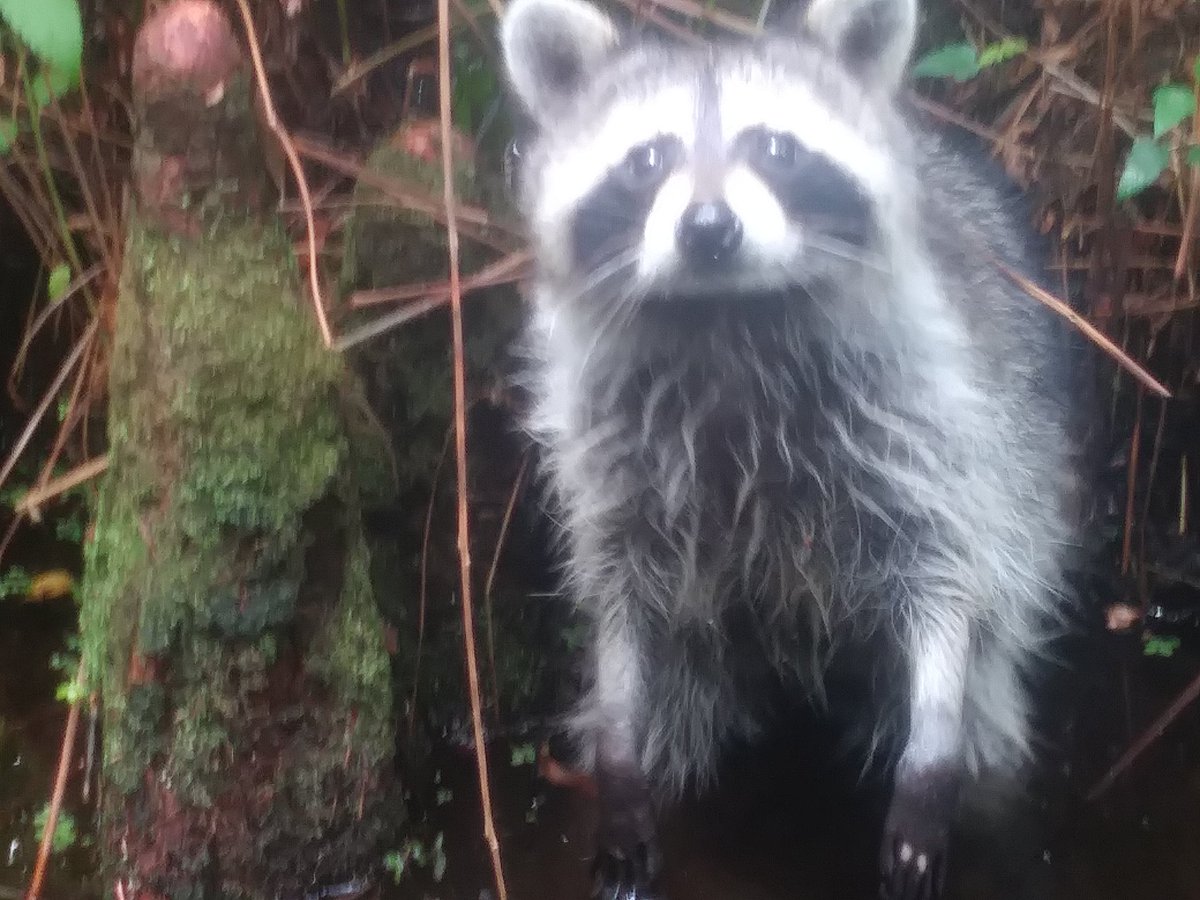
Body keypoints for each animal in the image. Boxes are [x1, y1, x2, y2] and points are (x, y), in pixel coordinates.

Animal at [499, 0, 1083, 896]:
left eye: (774, 149)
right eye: (648, 160)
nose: (709, 228)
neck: (724, 314)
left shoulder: (932, 420)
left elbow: (948, 570)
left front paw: (932, 741)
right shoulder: (611, 455)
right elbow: (621, 602)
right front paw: (617, 746)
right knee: (677, 715)